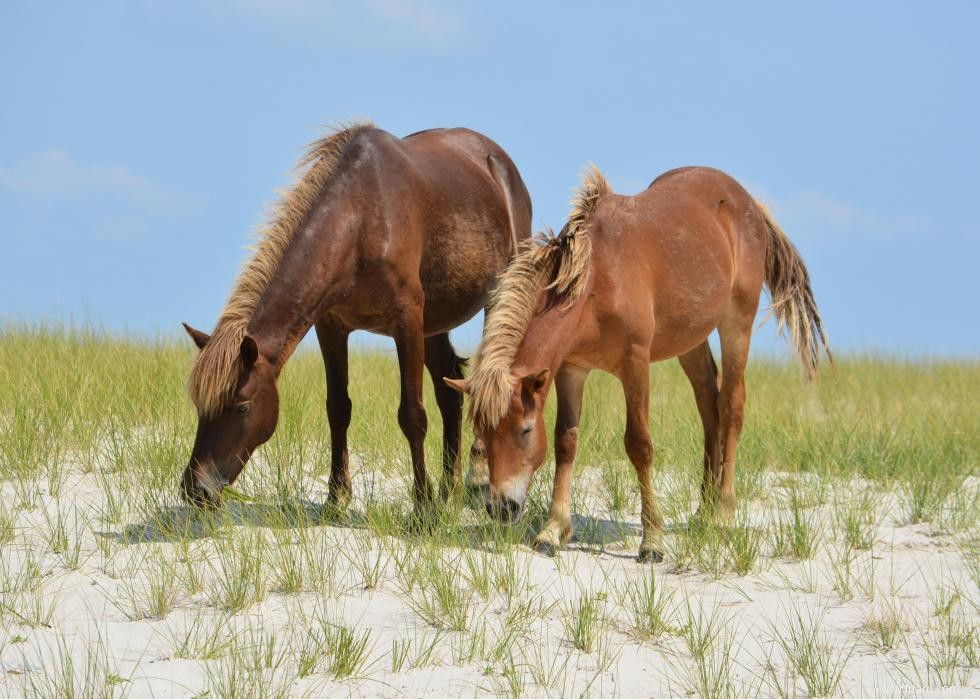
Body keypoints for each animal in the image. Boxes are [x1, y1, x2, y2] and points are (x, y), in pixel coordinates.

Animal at [184, 121, 536, 516]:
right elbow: (338, 409)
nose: (194, 488)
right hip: (435, 323)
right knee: (449, 393)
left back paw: (472, 480)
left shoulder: (406, 322)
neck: (360, 219)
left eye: (241, 407)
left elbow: (412, 415)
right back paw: (449, 488)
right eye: (200, 406)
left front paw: (422, 508)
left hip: (497, 300)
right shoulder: (331, 328)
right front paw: (336, 498)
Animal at [448, 165, 832, 564]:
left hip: (736, 322)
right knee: (709, 405)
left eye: (524, 431)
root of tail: (748, 201)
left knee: (731, 405)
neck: (596, 277)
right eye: (482, 433)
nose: (500, 507)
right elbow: (565, 441)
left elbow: (639, 444)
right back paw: (704, 510)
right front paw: (553, 531)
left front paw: (652, 540)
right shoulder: (571, 369)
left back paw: (724, 513)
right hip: (690, 340)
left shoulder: (635, 364)